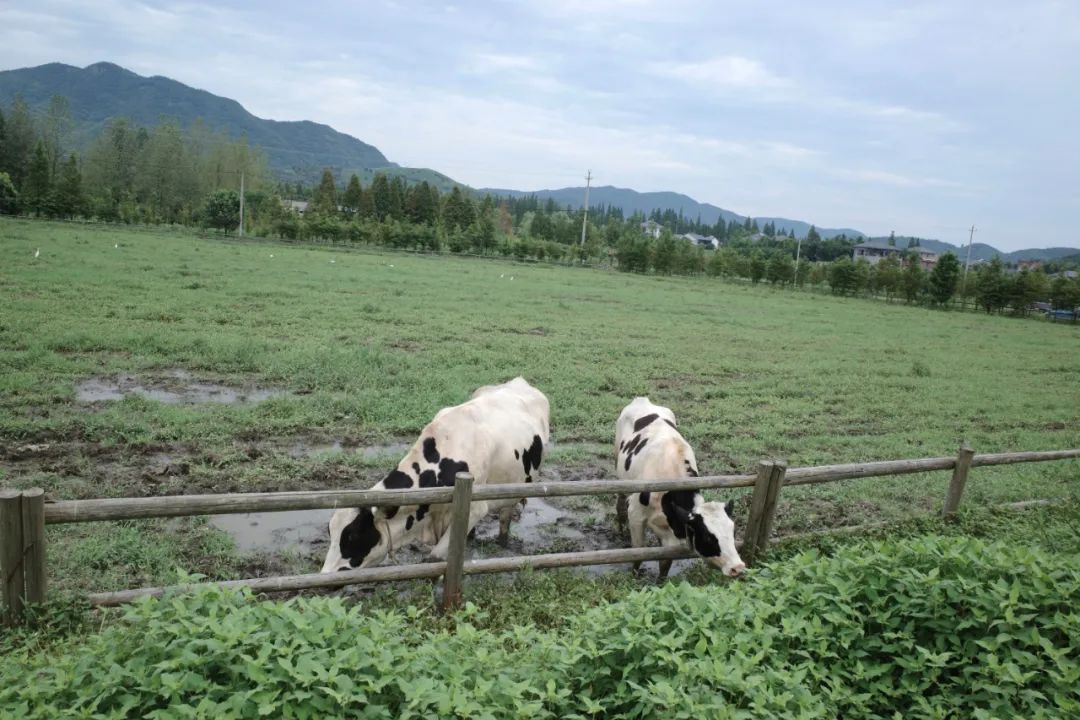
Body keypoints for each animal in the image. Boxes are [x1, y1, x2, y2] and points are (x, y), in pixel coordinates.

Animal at [319, 377, 548, 574]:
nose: (326, 575)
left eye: (353, 536)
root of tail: (518, 381)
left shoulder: (475, 508)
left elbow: (434, 558)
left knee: (505, 516)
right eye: (331, 532)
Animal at [617, 397, 743, 578]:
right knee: (620, 503)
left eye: (733, 531)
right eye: (708, 537)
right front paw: (634, 577)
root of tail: (642, 399)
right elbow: (638, 554)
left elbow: (665, 562)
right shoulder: (635, 514)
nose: (738, 567)